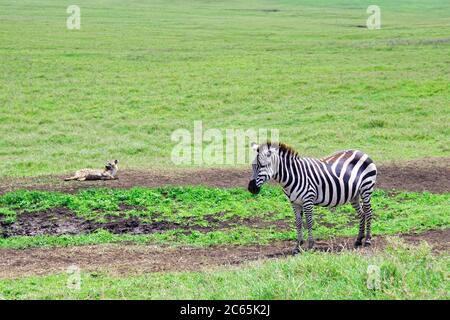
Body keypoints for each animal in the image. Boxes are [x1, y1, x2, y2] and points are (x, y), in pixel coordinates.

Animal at [248, 141, 378, 254]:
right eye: (253, 166)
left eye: (263, 165)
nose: (251, 188)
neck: (293, 176)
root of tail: (361, 152)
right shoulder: (295, 203)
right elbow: (298, 223)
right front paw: (297, 246)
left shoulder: (308, 200)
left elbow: (309, 222)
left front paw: (311, 245)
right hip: (354, 195)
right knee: (362, 214)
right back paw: (358, 240)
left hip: (366, 189)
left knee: (369, 212)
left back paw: (367, 240)